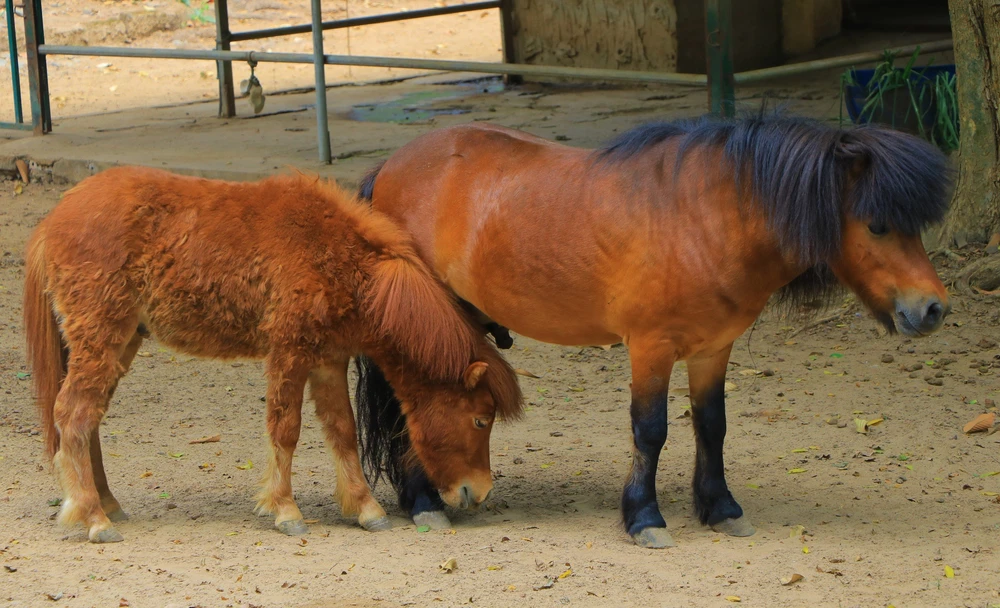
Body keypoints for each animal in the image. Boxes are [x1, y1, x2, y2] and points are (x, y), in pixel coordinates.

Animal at [22, 166, 523, 543]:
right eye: (481, 420)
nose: (478, 493)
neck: (334, 254)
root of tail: (53, 221)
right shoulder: (289, 353)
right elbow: (285, 431)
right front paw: (286, 512)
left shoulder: (328, 361)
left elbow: (342, 432)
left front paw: (365, 509)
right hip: (100, 338)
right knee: (72, 415)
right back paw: (94, 517)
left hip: (121, 342)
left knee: (89, 421)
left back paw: (106, 504)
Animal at [355, 110, 953, 548]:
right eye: (877, 224)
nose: (932, 310)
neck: (705, 217)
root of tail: (387, 169)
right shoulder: (650, 349)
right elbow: (651, 431)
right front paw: (645, 518)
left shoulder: (713, 349)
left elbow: (711, 426)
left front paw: (721, 508)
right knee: (405, 404)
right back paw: (425, 503)